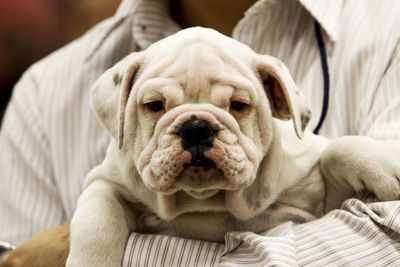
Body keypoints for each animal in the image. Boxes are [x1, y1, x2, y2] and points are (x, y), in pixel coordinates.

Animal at [66, 27, 400, 267]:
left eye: (238, 105)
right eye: (154, 105)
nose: (196, 128)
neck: (207, 199)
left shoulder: (327, 202)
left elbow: (335, 150)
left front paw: (387, 166)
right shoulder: (105, 181)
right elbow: (97, 221)